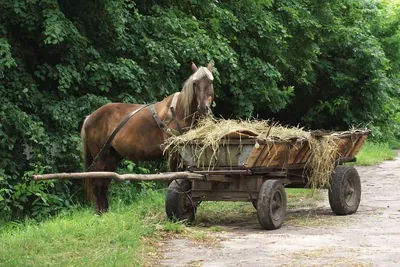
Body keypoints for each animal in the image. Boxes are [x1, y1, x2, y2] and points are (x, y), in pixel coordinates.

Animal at [79, 61, 214, 213]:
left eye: (210, 81)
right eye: (195, 83)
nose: (203, 108)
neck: (178, 112)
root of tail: (90, 117)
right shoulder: (172, 153)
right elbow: (174, 177)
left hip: (112, 157)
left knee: (104, 183)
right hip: (100, 157)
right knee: (97, 183)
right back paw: (100, 214)